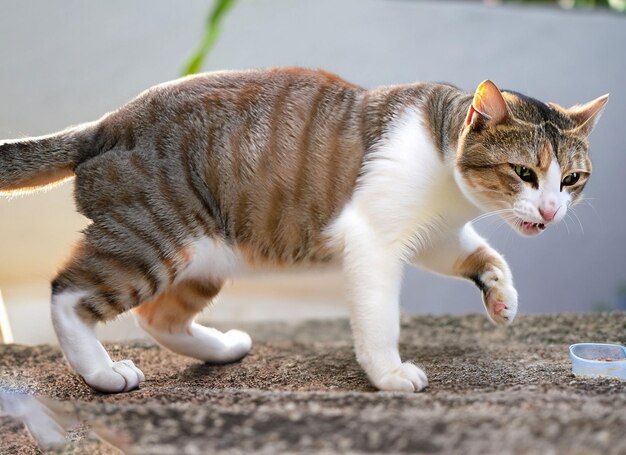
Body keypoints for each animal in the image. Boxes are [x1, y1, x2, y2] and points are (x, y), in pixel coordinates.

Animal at [0, 68, 604, 396]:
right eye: (523, 172)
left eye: (571, 179)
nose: (550, 210)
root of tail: (106, 123)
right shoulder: (373, 238)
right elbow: (379, 314)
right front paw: (389, 373)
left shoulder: (434, 233)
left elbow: (482, 255)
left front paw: (502, 296)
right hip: (152, 237)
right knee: (69, 292)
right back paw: (102, 372)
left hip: (206, 252)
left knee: (159, 315)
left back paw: (221, 347)